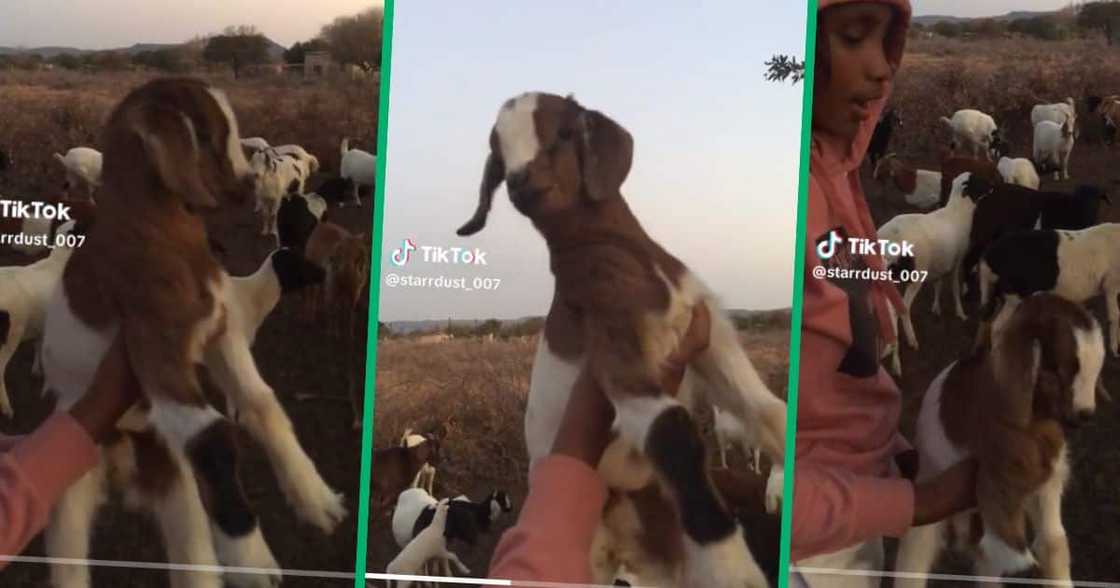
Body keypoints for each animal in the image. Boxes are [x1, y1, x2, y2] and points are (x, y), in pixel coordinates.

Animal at [39, 77, 342, 586]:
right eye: (211, 132)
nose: (250, 185)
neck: (159, 234)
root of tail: (122, 464)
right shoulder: (153, 344)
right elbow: (211, 436)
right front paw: (252, 561)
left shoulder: (221, 332)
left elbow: (260, 402)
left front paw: (314, 497)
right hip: (70, 485)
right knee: (68, 561)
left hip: (175, 488)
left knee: (193, 559)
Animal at [454, 91, 788, 586]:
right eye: (499, 155)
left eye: (564, 132)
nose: (520, 184)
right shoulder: (615, 348)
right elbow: (672, 428)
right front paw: (732, 568)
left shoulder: (708, 333)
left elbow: (767, 409)